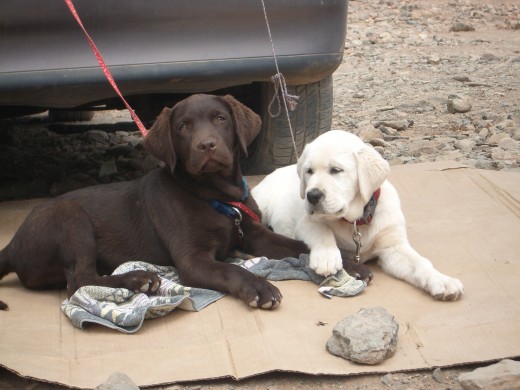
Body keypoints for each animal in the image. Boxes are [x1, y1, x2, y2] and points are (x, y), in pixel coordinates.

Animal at [0, 94, 370, 310]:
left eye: (220, 119)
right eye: (183, 126)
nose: (206, 145)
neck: (216, 197)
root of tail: (13, 244)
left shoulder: (257, 236)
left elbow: (297, 246)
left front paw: (346, 265)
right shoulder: (193, 260)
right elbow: (231, 269)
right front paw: (258, 287)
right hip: (68, 217)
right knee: (78, 280)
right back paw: (137, 279)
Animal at [252, 131, 464, 302]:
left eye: (336, 170)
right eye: (309, 171)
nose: (312, 195)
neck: (355, 220)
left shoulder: (393, 247)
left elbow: (421, 263)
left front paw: (442, 281)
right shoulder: (305, 222)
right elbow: (321, 231)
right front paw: (327, 258)